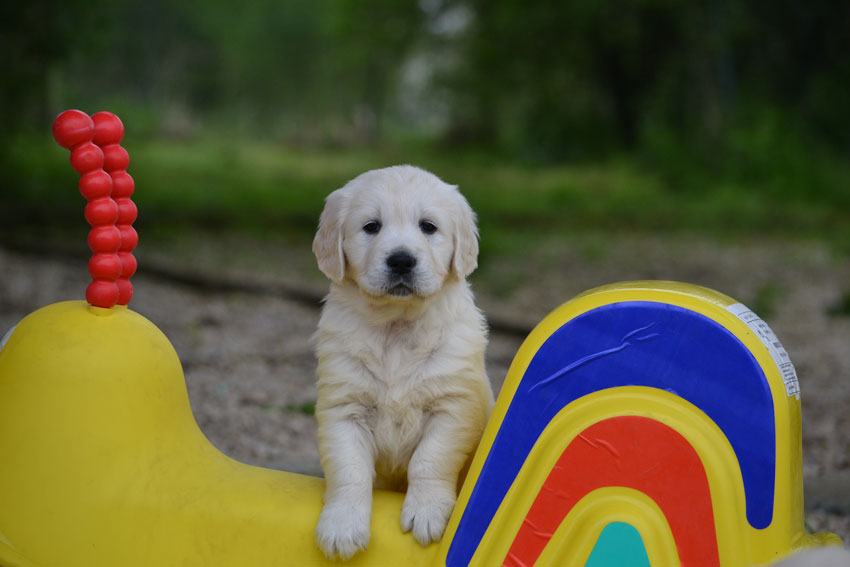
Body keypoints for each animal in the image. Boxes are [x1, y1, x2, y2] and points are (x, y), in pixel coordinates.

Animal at [312, 163, 494, 560]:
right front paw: (341, 527)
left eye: (428, 226)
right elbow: (349, 469)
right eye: (371, 226)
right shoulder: (343, 408)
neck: (396, 325)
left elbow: (429, 460)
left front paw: (427, 512)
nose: (401, 260)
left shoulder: (453, 407)